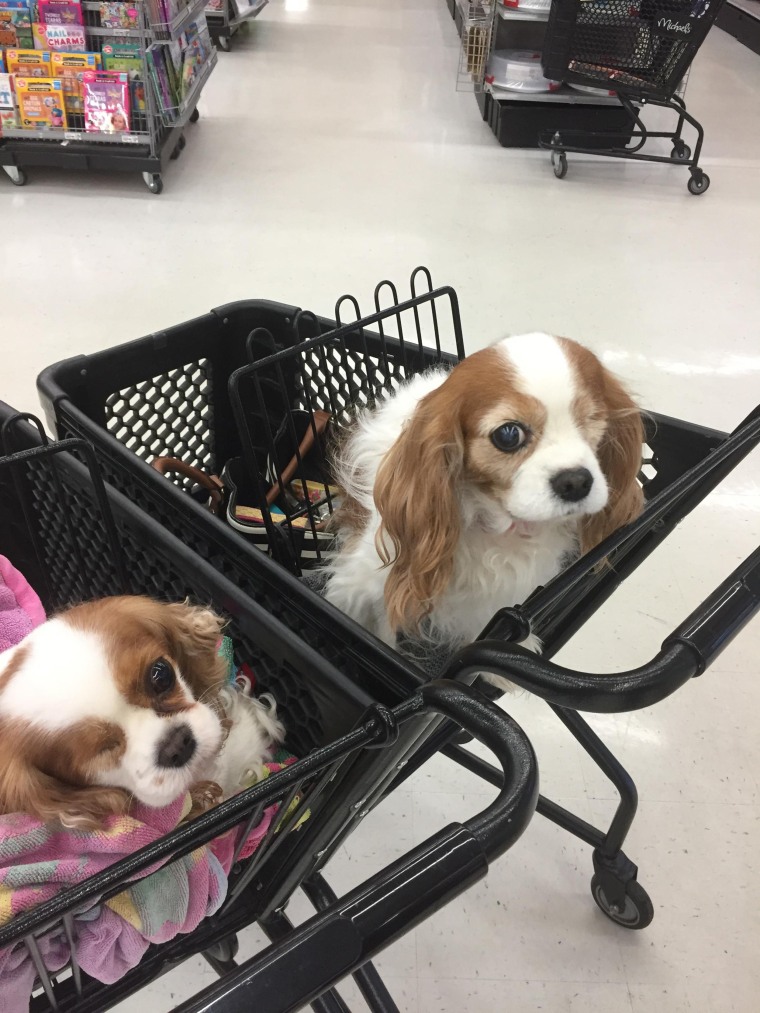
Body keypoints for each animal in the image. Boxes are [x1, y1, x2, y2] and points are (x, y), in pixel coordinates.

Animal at [324, 334, 644, 656]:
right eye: (509, 435)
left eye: (592, 419)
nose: (576, 481)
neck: (499, 523)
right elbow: (381, 625)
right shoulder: (368, 581)